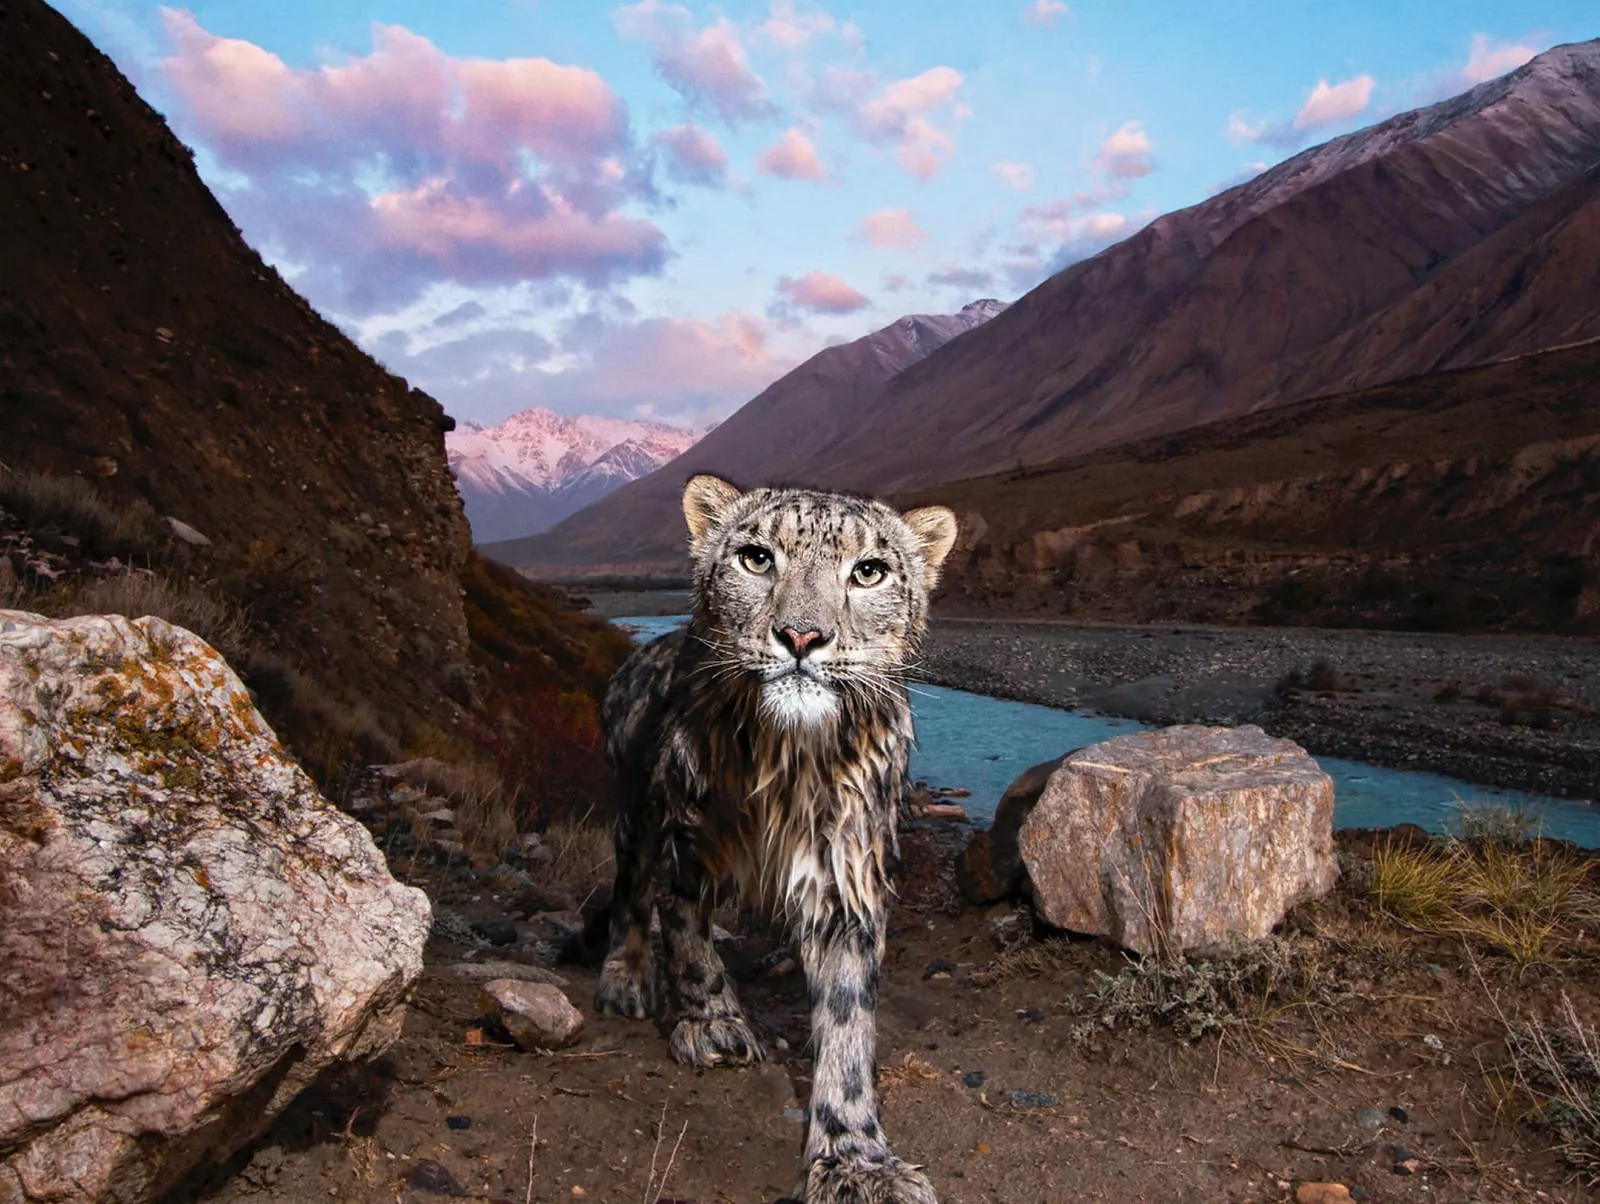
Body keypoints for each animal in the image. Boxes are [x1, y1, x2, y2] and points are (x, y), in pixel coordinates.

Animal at [596, 473, 957, 1204]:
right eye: (756, 557)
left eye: (869, 571)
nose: (800, 634)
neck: (788, 764)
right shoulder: (685, 843)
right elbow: (689, 939)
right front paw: (712, 1023)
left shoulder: (847, 876)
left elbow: (848, 1018)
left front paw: (855, 1158)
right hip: (636, 816)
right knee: (628, 895)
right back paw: (624, 978)